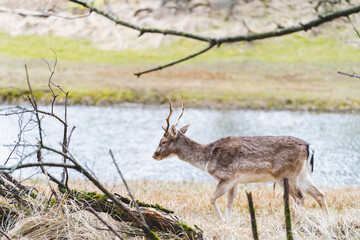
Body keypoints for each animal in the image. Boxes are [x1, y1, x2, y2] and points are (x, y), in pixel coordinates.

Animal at [152, 96, 330, 222]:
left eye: (163, 141)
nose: (154, 154)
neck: (207, 158)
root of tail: (308, 146)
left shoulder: (227, 176)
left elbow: (212, 198)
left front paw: (223, 221)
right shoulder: (236, 180)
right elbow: (230, 202)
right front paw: (229, 221)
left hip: (285, 173)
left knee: (300, 197)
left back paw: (297, 220)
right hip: (302, 174)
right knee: (319, 194)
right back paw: (326, 220)